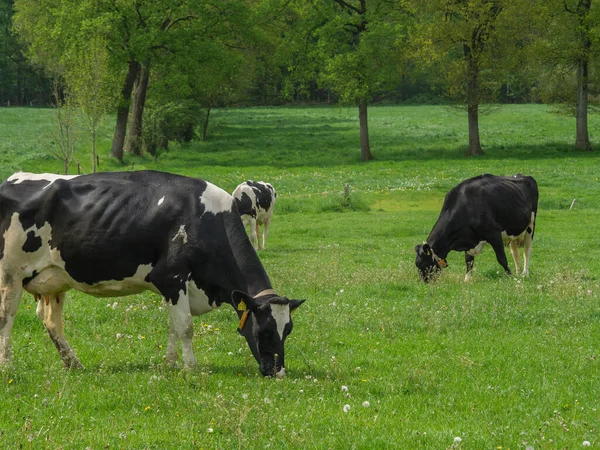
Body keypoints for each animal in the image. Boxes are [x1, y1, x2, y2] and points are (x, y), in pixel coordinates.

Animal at [0, 171, 304, 376]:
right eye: (264, 330)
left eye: (288, 330)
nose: (278, 373)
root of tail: (13, 179)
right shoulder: (171, 277)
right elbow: (186, 327)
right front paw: (190, 368)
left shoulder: (174, 287)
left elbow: (173, 326)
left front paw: (170, 363)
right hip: (10, 274)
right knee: (7, 318)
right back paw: (7, 366)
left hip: (53, 280)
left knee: (51, 321)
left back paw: (73, 363)